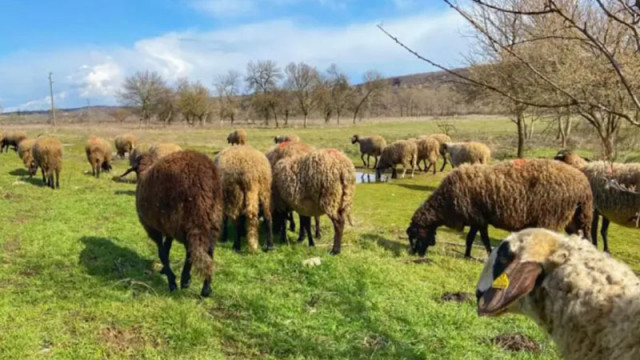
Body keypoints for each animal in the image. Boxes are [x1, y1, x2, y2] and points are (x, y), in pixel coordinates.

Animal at [132, 150, 222, 296]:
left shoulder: (153, 228)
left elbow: (162, 252)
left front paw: (172, 280)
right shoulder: (167, 228)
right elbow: (167, 249)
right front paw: (166, 271)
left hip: (185, 220)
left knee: (190, 250)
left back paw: (184, 280)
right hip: (212, 219)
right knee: (209, 251)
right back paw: (206, 287)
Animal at [408, 159, 592, 258]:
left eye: (415, 236)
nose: (415, 254)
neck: (445, 204)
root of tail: (583, 184)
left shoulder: (478, 219)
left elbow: (483, 239)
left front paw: (488, 254)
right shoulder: (477, 219)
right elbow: (470, 238)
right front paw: (467, 255)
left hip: (552, 216)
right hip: (576, 218)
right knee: (585, 237)